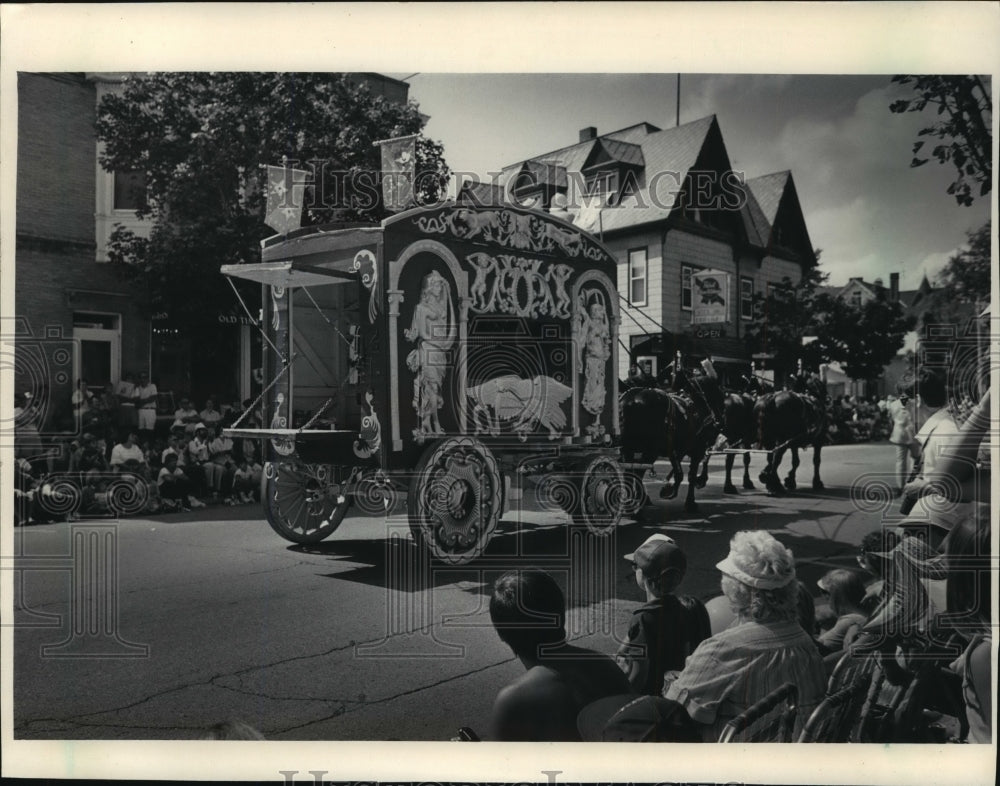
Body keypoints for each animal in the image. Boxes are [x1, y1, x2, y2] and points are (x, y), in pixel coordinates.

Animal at [620, 364, 724, 512]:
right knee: (637, 473)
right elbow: (691, 474)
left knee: (630, 473)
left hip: (631, 449)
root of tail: (630, 400)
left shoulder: (677, 447)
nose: (719, 424)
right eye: (720, 397)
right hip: (648, 450)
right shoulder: (697, 448)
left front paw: (670, 488)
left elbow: (679, 468)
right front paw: (690, 502)